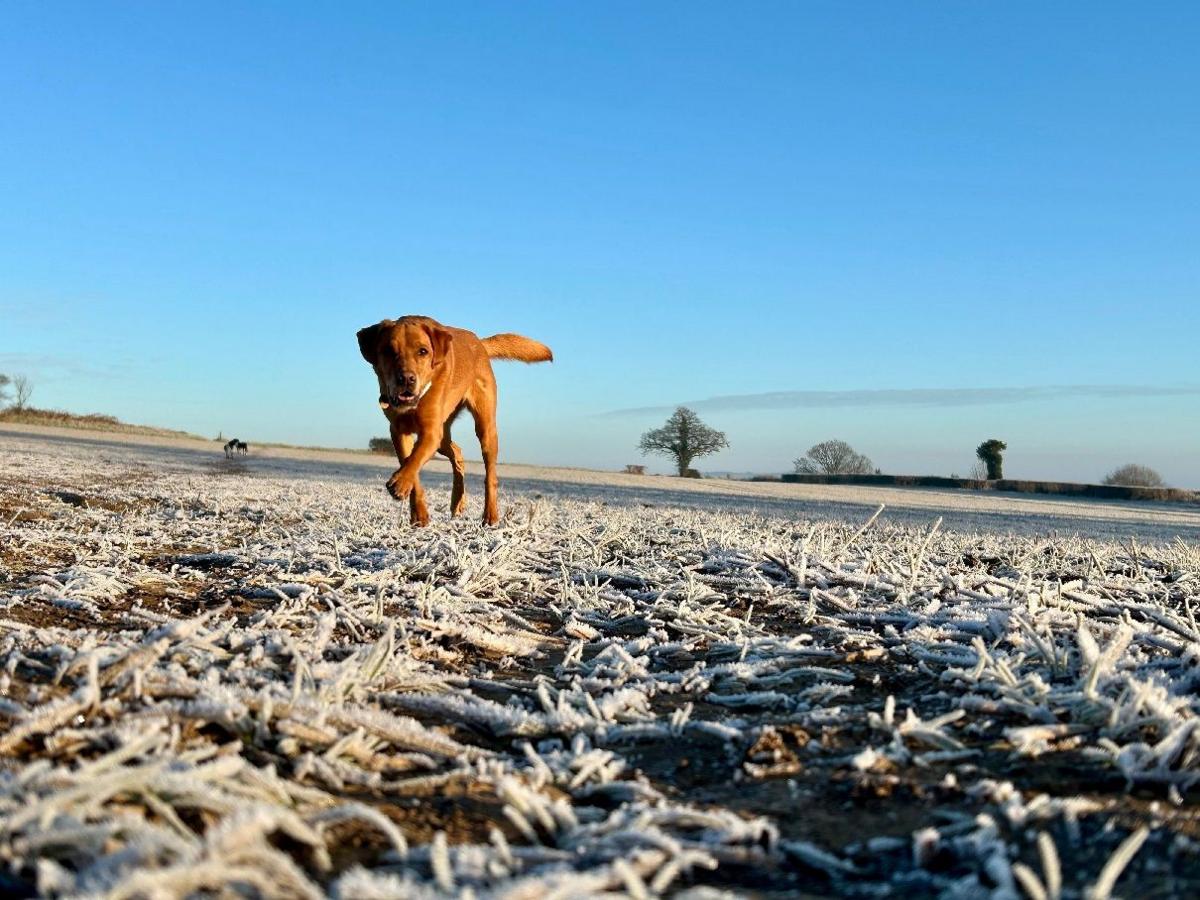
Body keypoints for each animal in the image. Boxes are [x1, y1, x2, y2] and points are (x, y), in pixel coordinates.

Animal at [355, 316, 552, 528]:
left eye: (423, 351)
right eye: (388, 351)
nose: (406, 379)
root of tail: (480, 343)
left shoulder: (431, 432)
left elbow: (414, 460)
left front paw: (400, 483)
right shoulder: (399, 431)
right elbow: (410, 464)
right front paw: (419, 514)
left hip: (485, 429)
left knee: (490, 475)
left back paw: (490, 515)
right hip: (443, 436)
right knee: (457, 453)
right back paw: (458, 501)